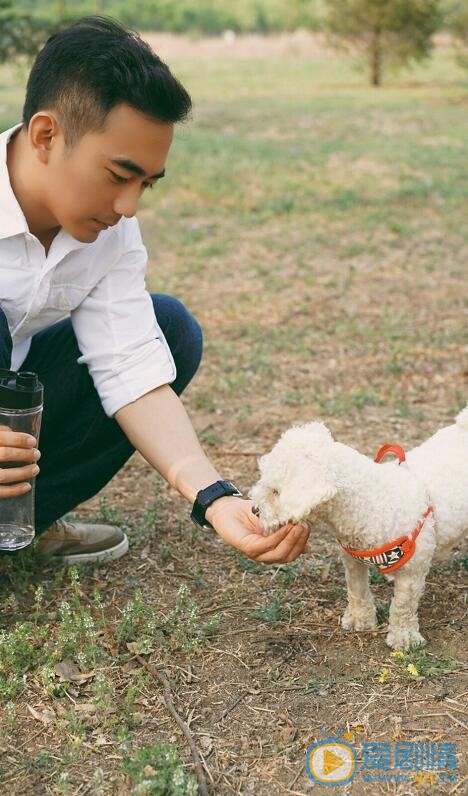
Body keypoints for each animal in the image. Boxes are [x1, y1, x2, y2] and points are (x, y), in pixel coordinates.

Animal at [250, 408, 468, 648]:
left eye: (275, 492)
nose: (254, 510)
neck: (370, 503)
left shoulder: (412, 571)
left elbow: (403, 606)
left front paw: (404, 638)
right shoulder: (353, 559)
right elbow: (356, 590)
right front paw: (359, 619)